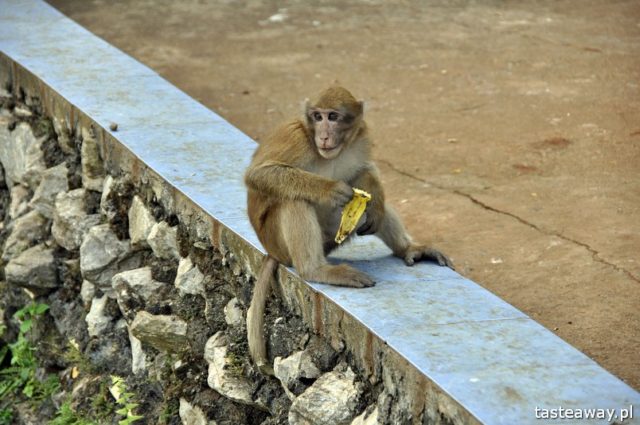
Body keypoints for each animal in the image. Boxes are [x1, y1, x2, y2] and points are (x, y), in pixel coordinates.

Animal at [244, 86, 452, 372]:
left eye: (333, 116)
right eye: (317, 116)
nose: (323, 135)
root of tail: (271, 252)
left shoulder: (361, 138)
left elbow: (365, 172)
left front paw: (374, 196)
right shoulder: (295, 137)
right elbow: (260, 174)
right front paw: (329, 189)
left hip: (333, 236)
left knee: (372, 206)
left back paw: (408, 247)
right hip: (278, 240)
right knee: (293, 199)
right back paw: (315, 270)